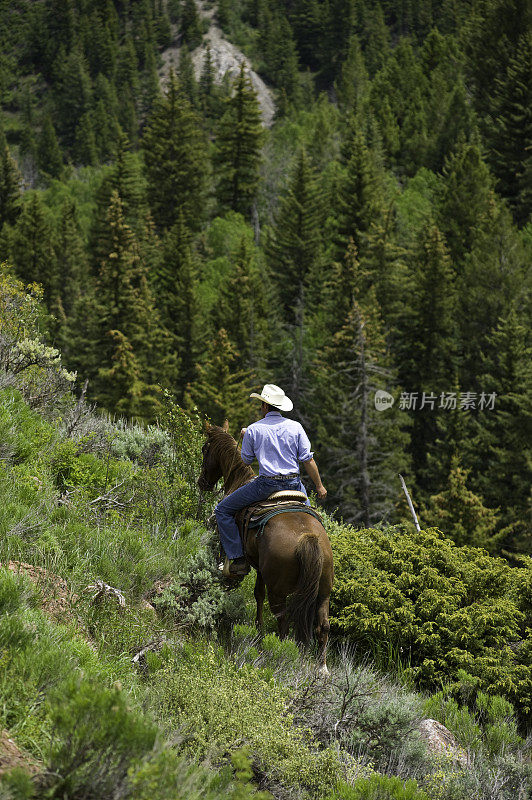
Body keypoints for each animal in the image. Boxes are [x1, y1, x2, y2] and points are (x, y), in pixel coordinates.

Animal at [197, 422, 334, 672]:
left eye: (205, 449)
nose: (202, 482)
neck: (238, 481)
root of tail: (308, 537)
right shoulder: (261, 569)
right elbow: (257, 594)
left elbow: (256, 594)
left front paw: (258, 632)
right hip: (324, 590)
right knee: (322, 626)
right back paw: (322, 669)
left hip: (279, 590)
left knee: (283, 621)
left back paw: (278, 652)